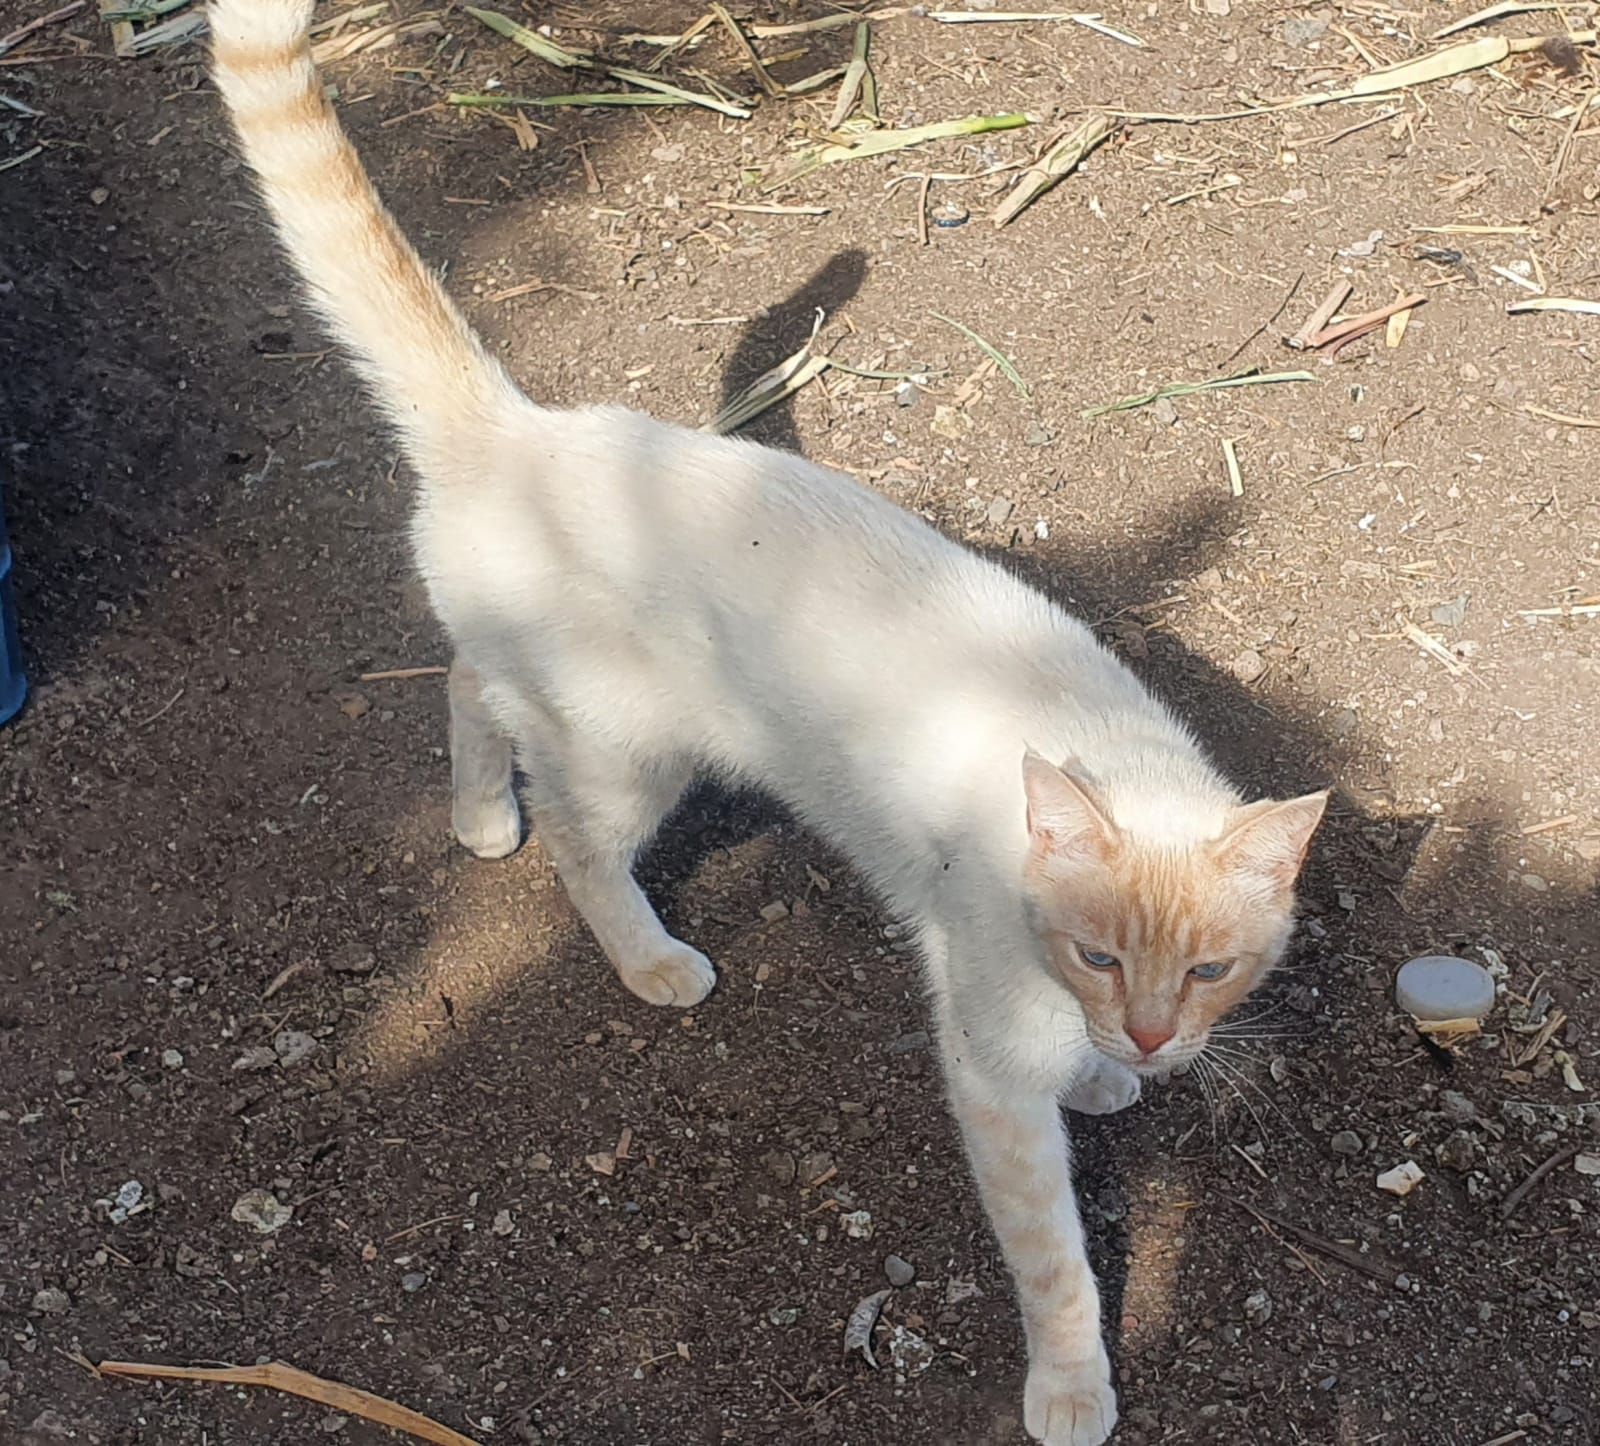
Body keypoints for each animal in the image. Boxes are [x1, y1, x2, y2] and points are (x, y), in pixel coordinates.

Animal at [212, 5, 1331, 1439]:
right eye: (1097, 953)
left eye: (1207, 971)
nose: (1147, 1036)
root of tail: (521, 431)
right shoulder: (990, 1079)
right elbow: (1058, 1261)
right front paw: (1073, 1381)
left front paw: (1107, 1077)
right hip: (631, 759)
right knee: (578, 838)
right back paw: (644, 954)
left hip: (538, 687)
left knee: (466, 684)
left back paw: (475, 819)